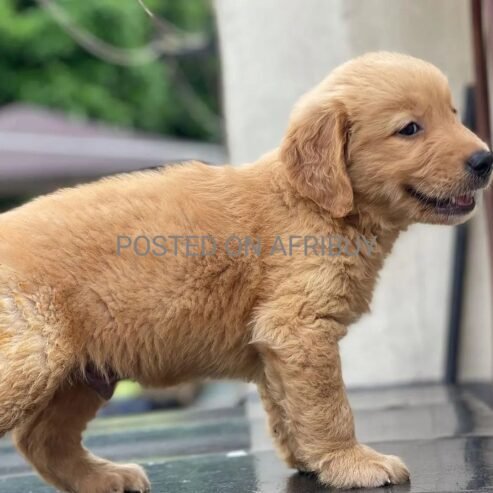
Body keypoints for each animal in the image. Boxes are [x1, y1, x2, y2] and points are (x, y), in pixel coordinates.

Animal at [0, 52, 492, 490]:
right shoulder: (299, 327)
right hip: (34, 357)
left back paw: (104, 478)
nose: (485, 160)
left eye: (453, 114)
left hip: (79, 378)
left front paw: (312, 461)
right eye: (410, 128)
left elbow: (287, 407)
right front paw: (351, 463)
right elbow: (328, 406)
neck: (316, 205)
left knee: (43, 442)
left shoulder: (275, 344)